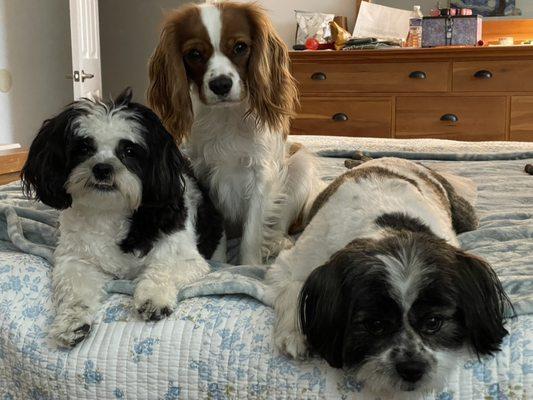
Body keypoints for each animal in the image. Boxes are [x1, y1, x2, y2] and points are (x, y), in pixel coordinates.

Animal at [20, 88, 224, 346]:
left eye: (128, 151)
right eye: (84, 148)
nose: (102, 168)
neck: (110, 212)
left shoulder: (187, 258)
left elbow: (163, 267)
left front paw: (153, 298)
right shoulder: (76, 260)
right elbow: (75, 289)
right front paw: (72, 321)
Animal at [268, 158, 510, 398]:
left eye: (433, 322)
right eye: (375, 325)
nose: (412, 368)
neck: (387, 225)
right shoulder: (294, 260)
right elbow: (294, 286)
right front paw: (293, 332)